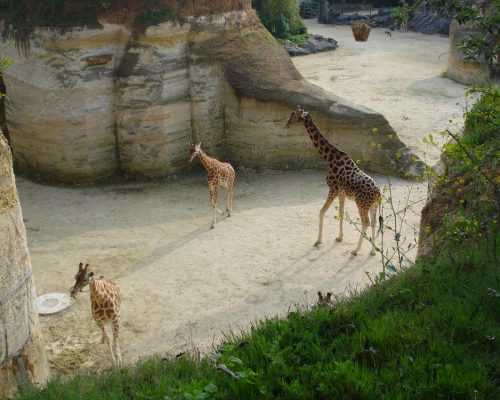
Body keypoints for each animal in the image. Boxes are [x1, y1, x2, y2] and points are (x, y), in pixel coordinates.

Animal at [288, 105, 380, 256]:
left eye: (293, 115)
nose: (287, 124)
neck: (329, 158)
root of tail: (379, 192)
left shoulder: (333, 188)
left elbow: (321, 211)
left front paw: (318, 240)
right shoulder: (341, 192)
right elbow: (341, 213)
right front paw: (339, 237)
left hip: (361, 204)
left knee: (365, 222)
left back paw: (356, 250)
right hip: (373, 205)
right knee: (373, 222)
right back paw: (372, 251)